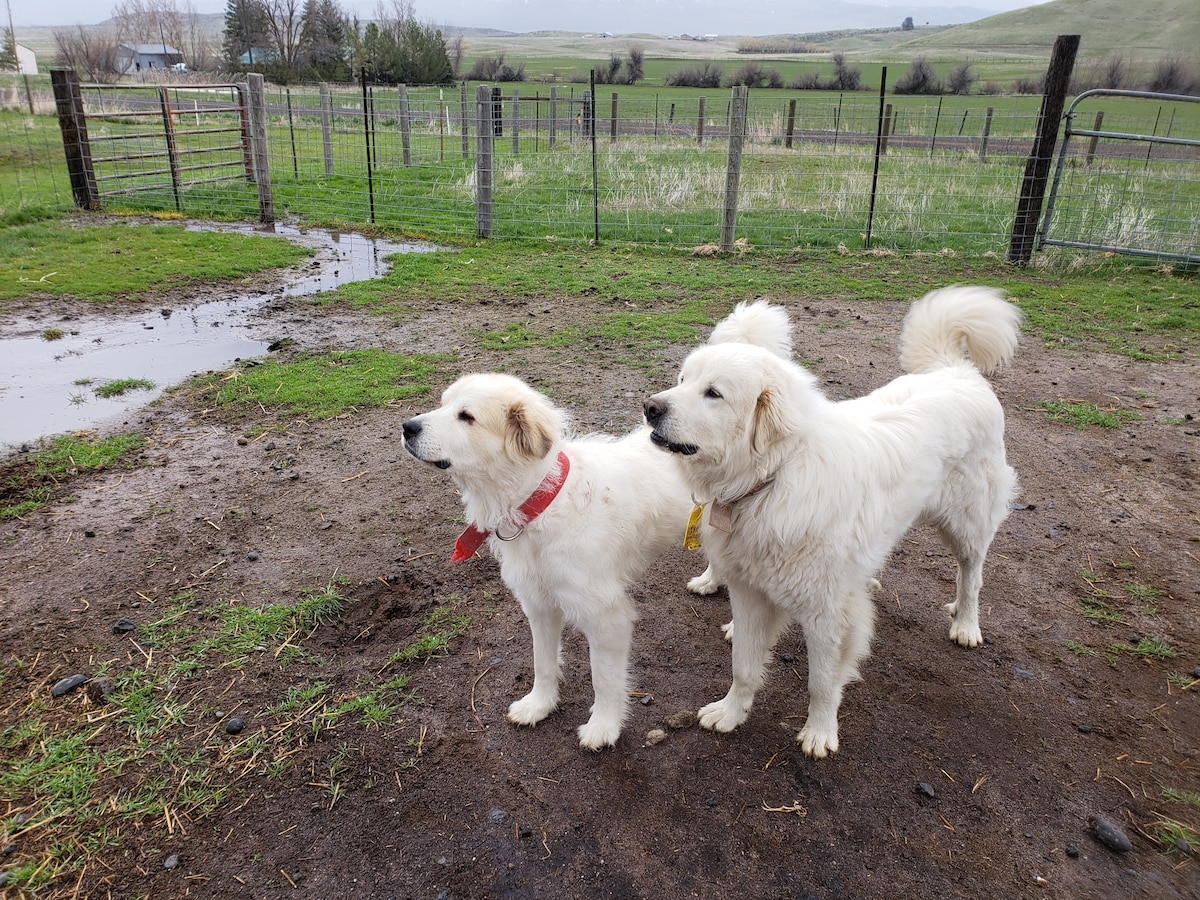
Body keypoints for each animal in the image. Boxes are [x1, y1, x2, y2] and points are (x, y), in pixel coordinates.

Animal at [403, 369, 705, 748]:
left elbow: (604, 677)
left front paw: (604, 726)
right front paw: (539, 705)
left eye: (466, 416)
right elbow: (542, 663)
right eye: (442, 404)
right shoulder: (539, 605)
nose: (407, 427)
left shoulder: (607, 618)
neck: (541, 506)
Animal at [648, 290, 1022, 763]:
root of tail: (956, 371)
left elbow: (821, 682)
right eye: (681, 378)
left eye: (713, 393)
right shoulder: (749, 591)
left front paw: (820, 733)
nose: (650, 407)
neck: (773, 478)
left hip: (967, 523)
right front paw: (731, 713)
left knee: (970, 576)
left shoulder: (829, 614)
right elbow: (744, 666)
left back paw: (966, 624)